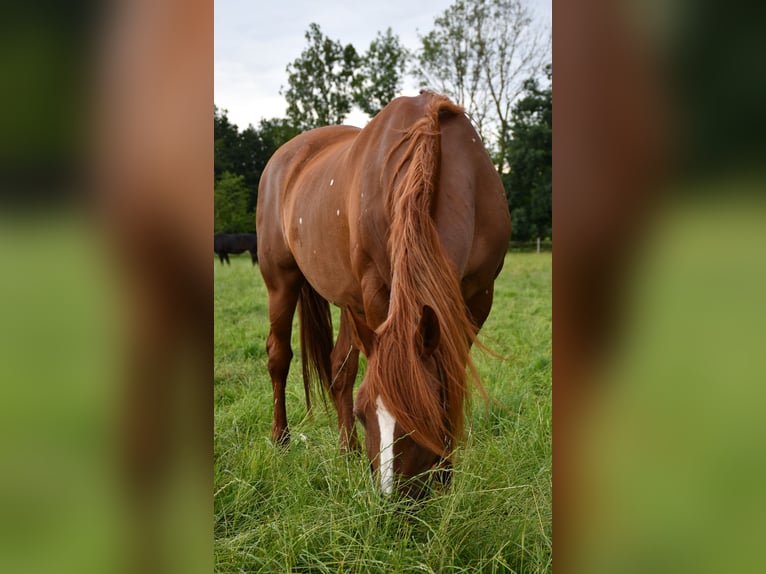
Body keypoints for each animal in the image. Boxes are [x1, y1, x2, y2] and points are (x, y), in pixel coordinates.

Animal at [255, 92, 512, 498]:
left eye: (427, 413)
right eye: (365, 414)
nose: (393, 500)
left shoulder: (476, 299)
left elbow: (451, 375)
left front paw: (446, 476)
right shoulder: (377, 292)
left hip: (349, 302)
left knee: (339, 368)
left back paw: (348, 453)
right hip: (281, 282)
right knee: (279, 357)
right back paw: (281, 439)